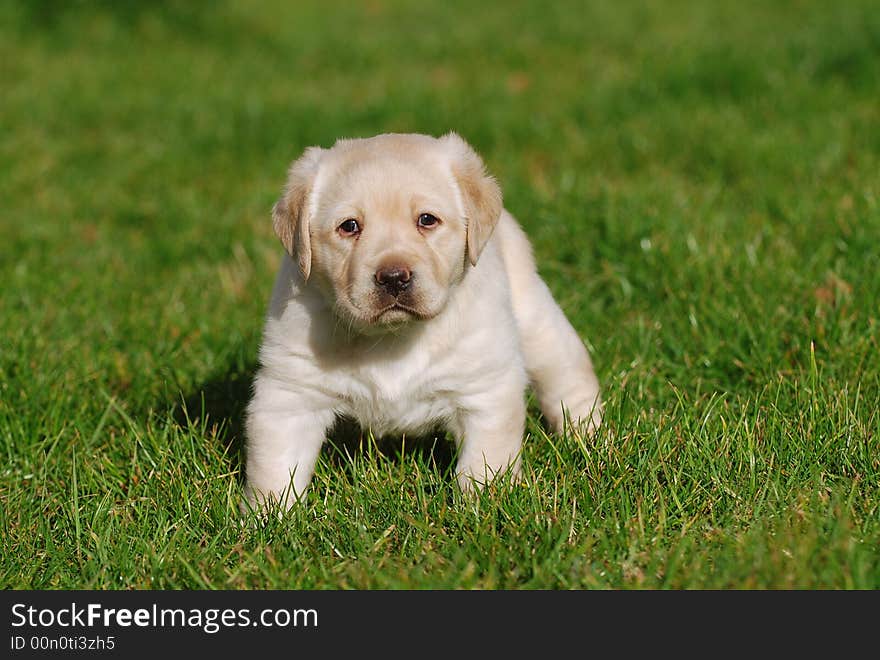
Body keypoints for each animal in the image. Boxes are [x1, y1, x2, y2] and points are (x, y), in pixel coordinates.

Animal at [244, 131, 600, 508]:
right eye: (349, 226)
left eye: (427, 220)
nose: (393, 277)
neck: (394, 336)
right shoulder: (290, 393)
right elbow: (275, 467)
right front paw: (266, 517)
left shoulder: (485, 388)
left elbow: (484, 463)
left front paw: (482, 508)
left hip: (535, 320)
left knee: (567, 376)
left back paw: (590, 438)